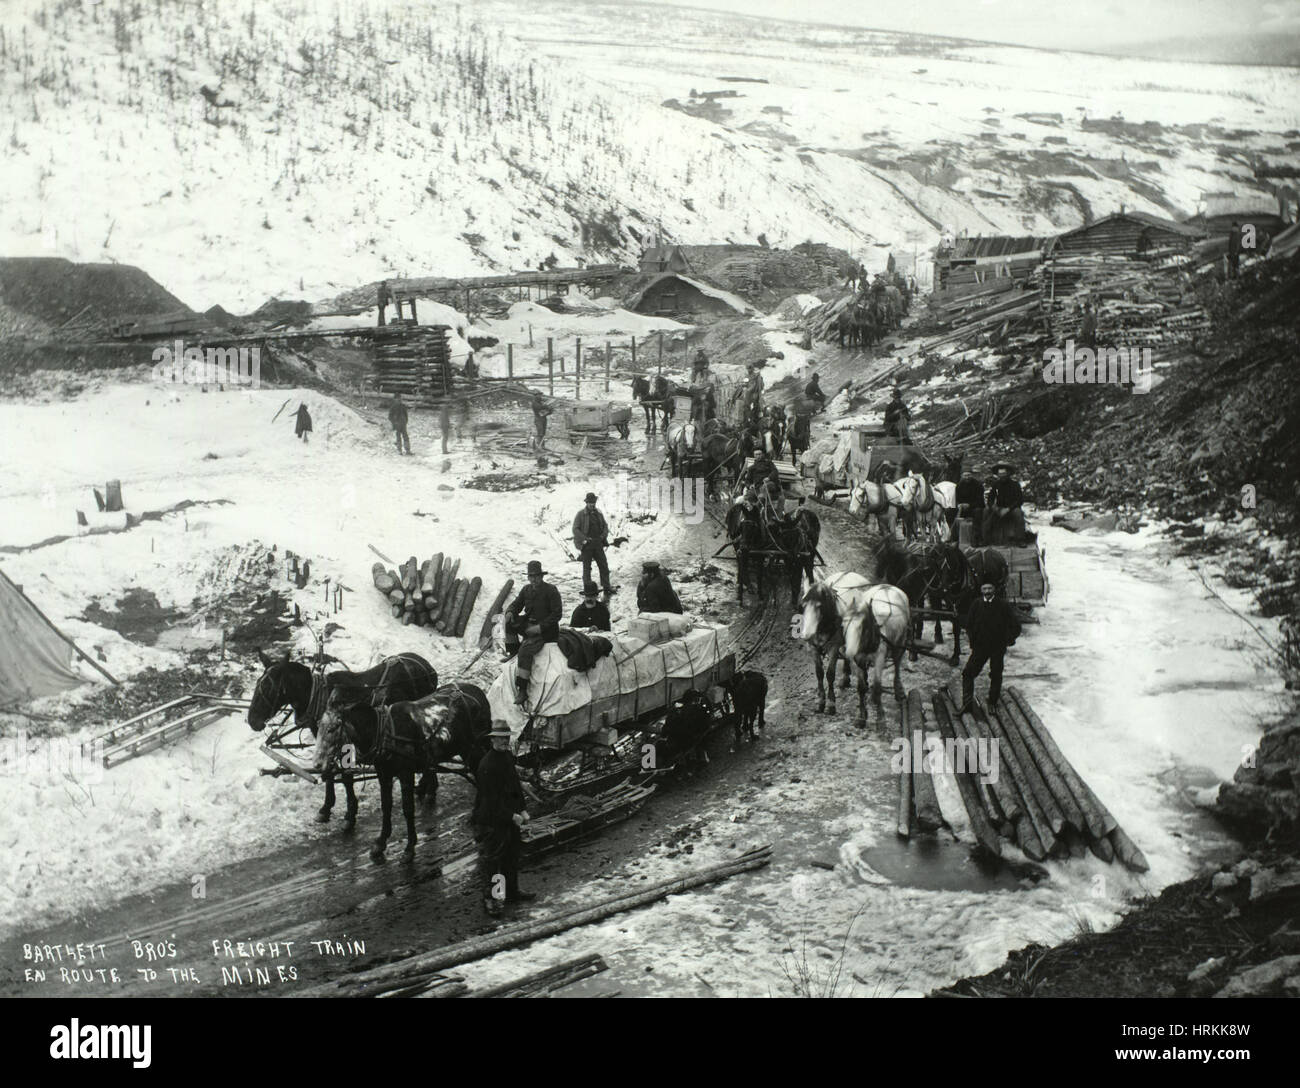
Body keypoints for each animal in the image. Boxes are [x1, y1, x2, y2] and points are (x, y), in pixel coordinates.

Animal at [245, 644, 439, 821]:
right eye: (257, 684)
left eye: (269, 687)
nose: (252, 720)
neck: (321, 699)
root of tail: (427, 667)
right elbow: (329, 771)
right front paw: (326, 808)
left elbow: (345, 776)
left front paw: (350, 812)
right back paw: (425, 786)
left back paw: (429, 788)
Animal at [795, 571, 909, 727]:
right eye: (803, 606)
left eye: (819, 606)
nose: (806, 634)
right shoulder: (813, 648)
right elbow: (819, 673)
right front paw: (821, 702)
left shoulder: (834, 647)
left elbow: (830, 674)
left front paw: (831, 705)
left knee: (896, 662)